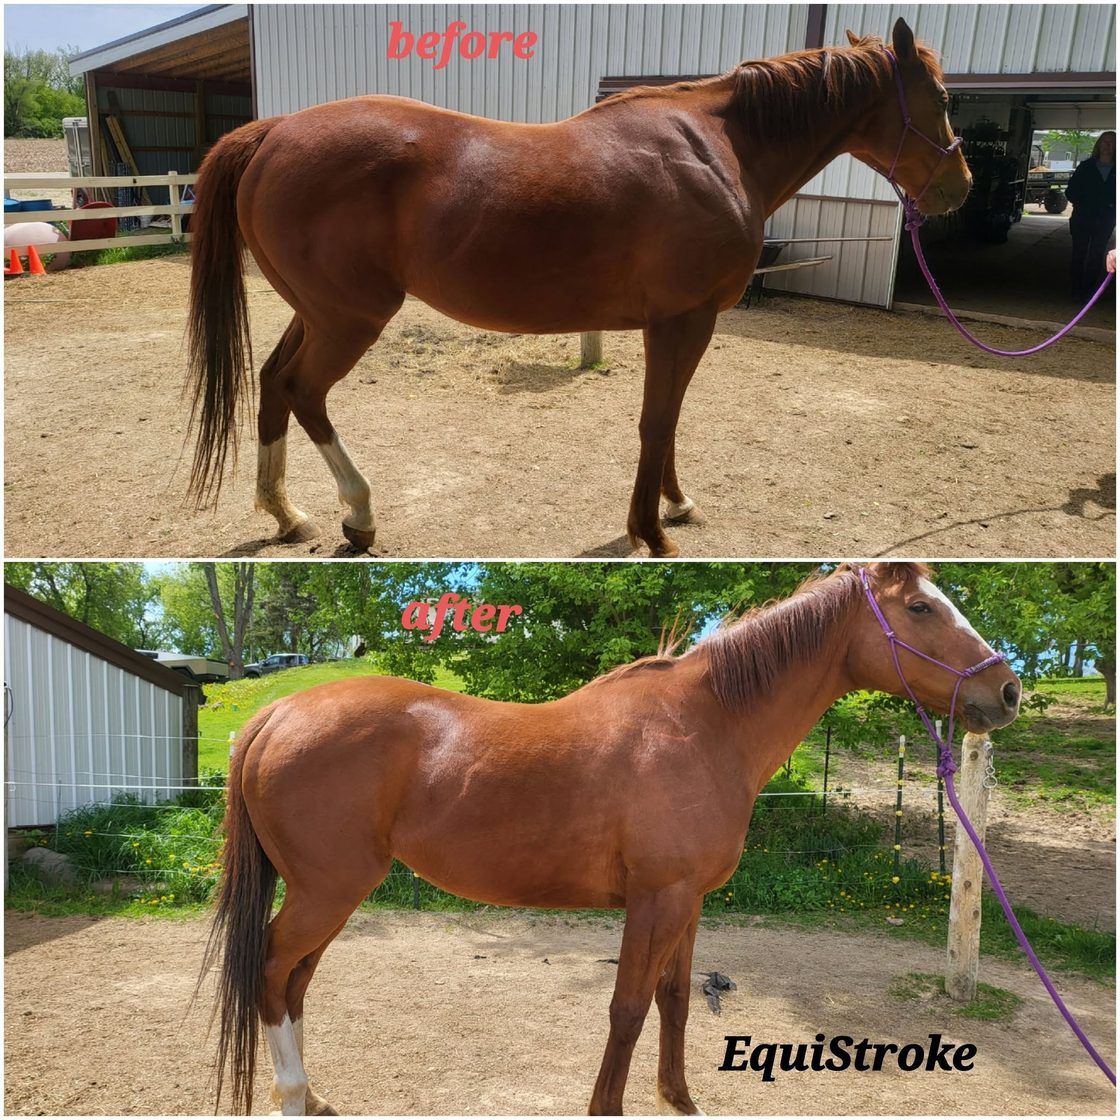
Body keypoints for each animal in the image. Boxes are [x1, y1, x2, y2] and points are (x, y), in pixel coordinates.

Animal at [186, 19, 970, 558]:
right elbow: (657, 421)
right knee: (304, 391)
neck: (716, 150)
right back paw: (359, 514)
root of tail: (274, 131)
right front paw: (652, 532)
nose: (960, 188)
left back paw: (287, 514)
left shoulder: (679, 323)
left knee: (273, 381)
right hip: (350, 319)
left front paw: (676, 505)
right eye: (939, 96)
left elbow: (671, 420)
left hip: (315, 313)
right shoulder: (683, 320)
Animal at [204, 561, 1019, 1115]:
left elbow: (675, 1001)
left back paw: (312, 1096)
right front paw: (609, 1105)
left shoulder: (689, 902)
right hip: (327, 891)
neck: (705, 726)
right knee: (271, 970)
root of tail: (277, 714)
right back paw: (291, 1095)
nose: (1006, 690)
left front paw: (680, 1100)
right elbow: (626, 1007)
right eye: (920, 606)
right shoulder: (655, 899)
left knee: (295, 981)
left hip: (329, 896)